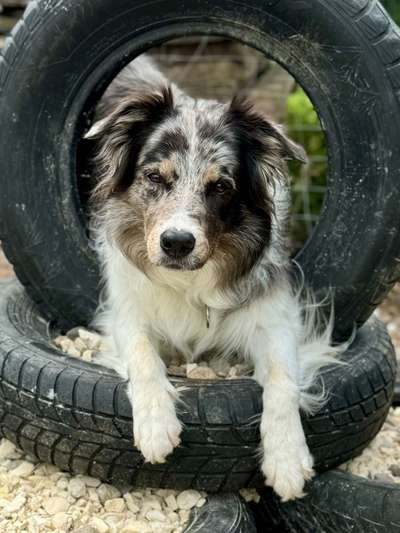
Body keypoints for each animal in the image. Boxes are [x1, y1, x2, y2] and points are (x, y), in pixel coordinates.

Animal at [86, 56, 340, 500]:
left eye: (220, 186)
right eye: (155, 178)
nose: (176, 243)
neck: (190, 279)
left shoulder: (275, 318)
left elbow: (283, 379)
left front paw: (287, 458)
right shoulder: (125, 311)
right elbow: (141, 352)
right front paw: (156, 425)